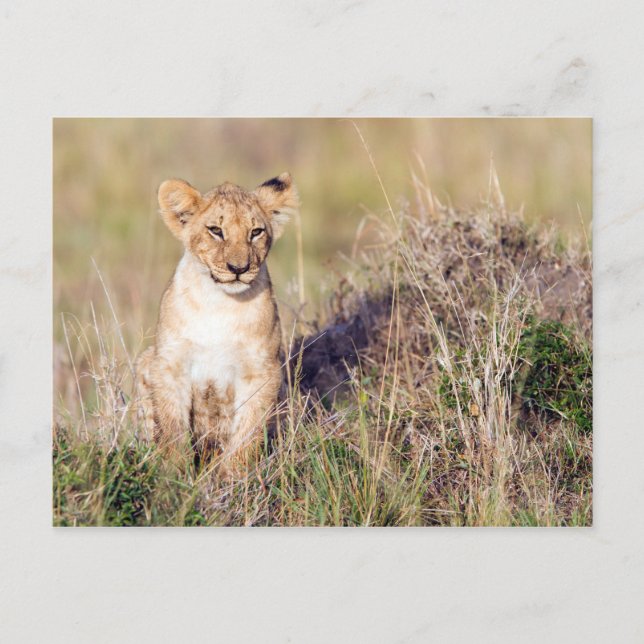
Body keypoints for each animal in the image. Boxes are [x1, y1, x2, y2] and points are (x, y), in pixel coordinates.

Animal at [135, 173, 299, 476]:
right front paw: (173, 475)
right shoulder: (169, 364)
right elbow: (172, 427)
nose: (238, 268)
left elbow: (247, 431)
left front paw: (233, 478)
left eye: (256, 232)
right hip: (145, 360)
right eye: (215, 230)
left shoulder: (262, 371)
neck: (220, 303)